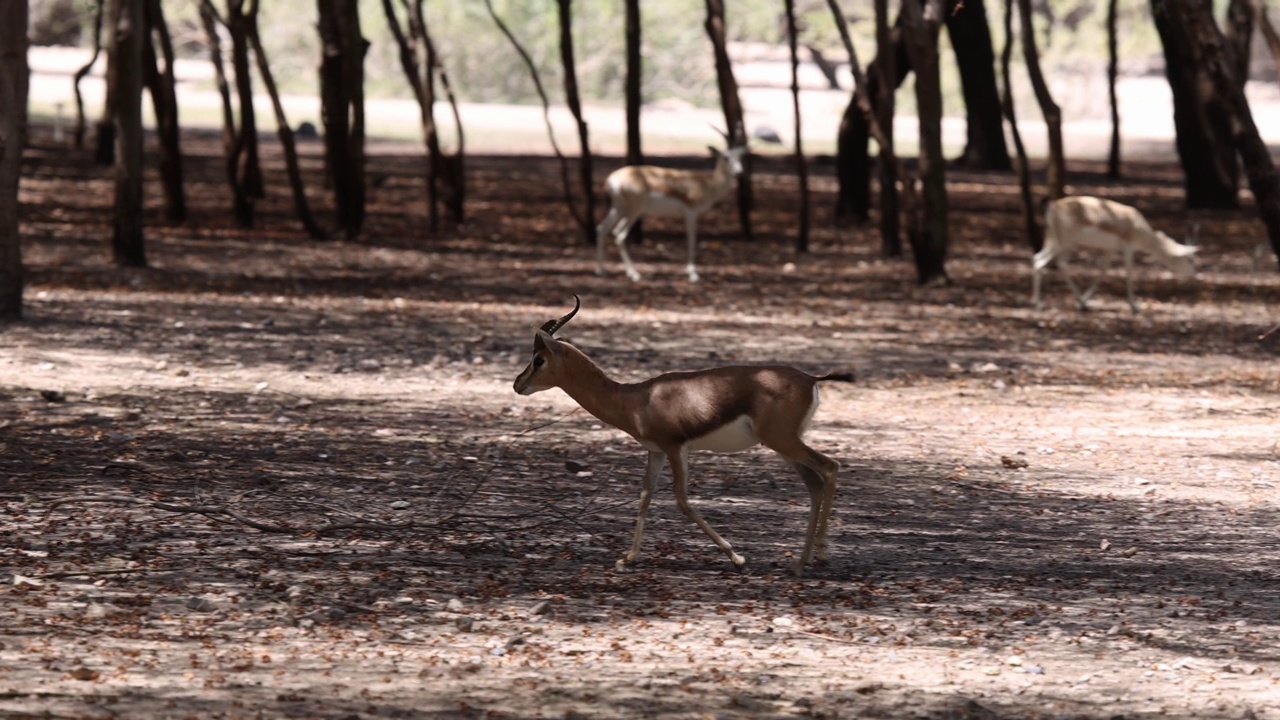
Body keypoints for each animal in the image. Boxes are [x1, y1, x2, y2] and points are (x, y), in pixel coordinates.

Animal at [514, 295, 855, 571]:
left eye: (538, 359)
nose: (518, 384)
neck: (635, 399)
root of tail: (810, 378)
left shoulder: (676, 448)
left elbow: (681, 501)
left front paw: (737, 558)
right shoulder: (655, 451)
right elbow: (645, 496)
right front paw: (628, 559)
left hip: (782, 441)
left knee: (830, 467)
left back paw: (820, 555)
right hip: (783, 446)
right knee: (815, 482)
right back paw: (801, 561)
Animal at [593, 133, 747, 281]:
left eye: (740, 156)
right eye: (726, 157)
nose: (739, 172)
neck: (706, 183)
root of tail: (613, 179)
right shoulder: (691, 212)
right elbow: (692, 238)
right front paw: (693, 274)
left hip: (619, 209)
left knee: (602, 229)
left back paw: (602, 270)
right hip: (634, 211)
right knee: (620, 234)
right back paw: (634, 274)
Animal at [1029, 194, 1198, 312]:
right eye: (1188, 259)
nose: (1192, 276)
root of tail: (1052, 206)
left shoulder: (1110, 250)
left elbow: (1102, 272)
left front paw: (1085, 301)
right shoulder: (1128, 249)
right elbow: (1129, 275)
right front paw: (1135, 307)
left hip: (1058, 242)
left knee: (1048, 260)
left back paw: (1080, 303)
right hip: (1063, 243)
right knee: (1044, 262)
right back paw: (1039, 305)